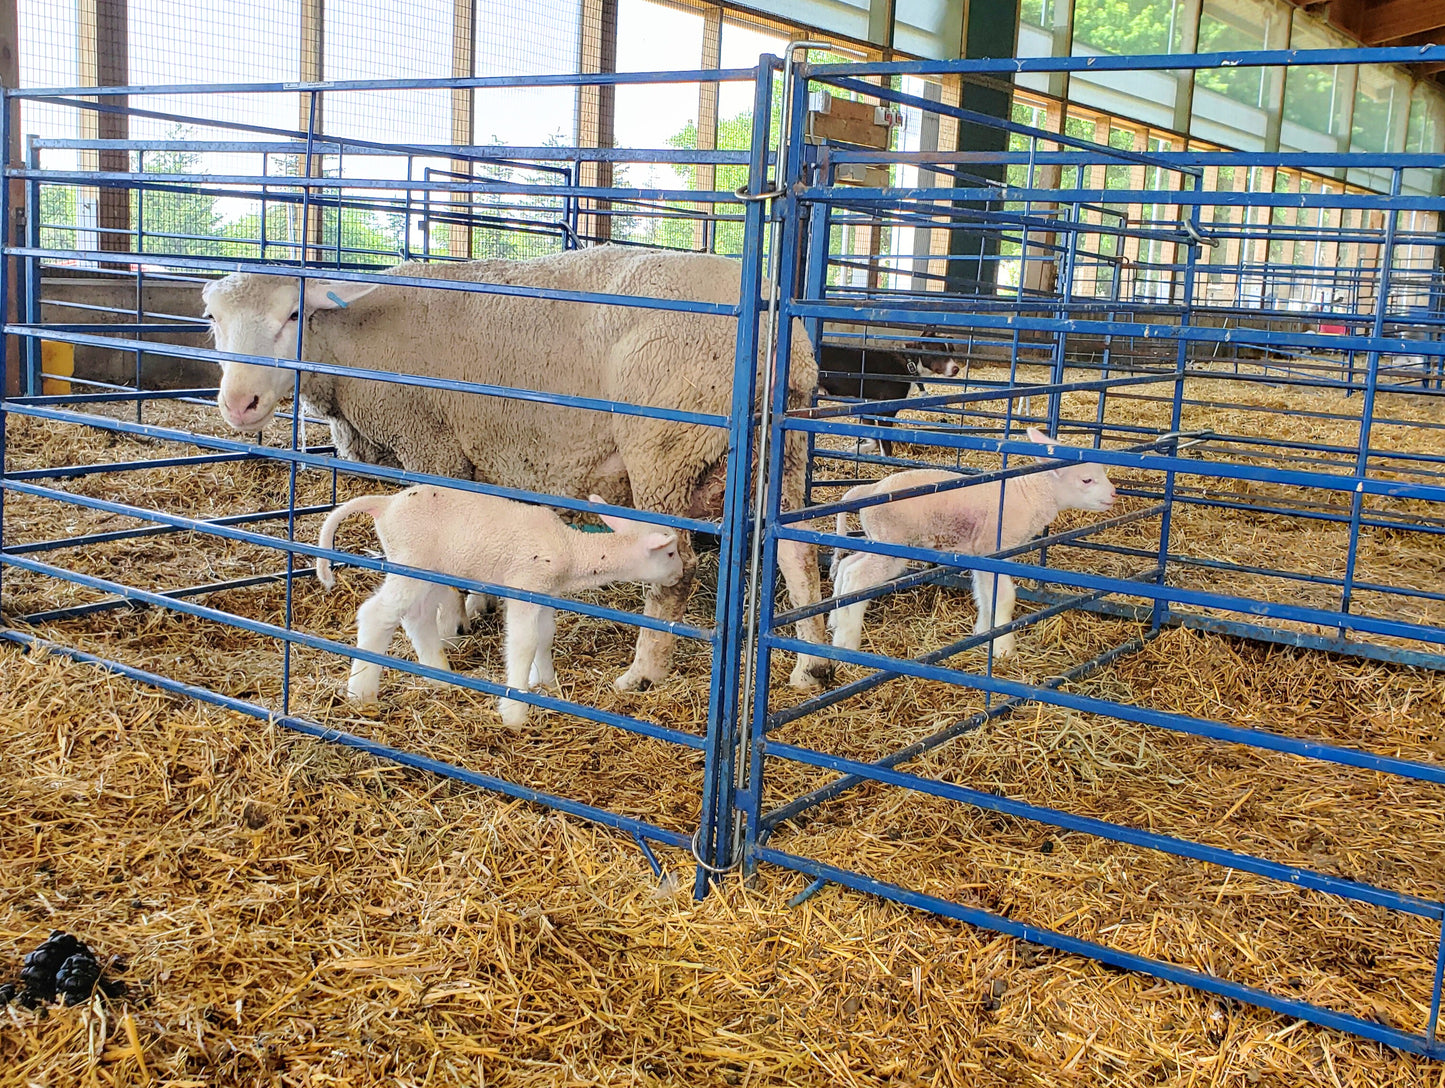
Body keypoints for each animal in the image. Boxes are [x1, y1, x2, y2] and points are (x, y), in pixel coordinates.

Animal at [201, 245, 832, 694]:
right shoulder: (482, 455)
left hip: (662, 448)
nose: (240, 404)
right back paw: (810, 667)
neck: (354, 347)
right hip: (785, 446)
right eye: (211, 318)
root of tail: (775, 335)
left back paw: (643, 673)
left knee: (678, 571)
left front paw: (452, 626)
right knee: (798, 553)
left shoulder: (432, 443)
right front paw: (478, 608)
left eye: (294, 314)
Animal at [316, 485, 684, 726]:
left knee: (418, 617)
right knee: (377, 615)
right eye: (669, 552)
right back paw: (361, 693)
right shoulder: (525, 584)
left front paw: (546, 685)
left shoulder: (544, 593)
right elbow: (523, 643)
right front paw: (515, 712)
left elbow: (544, 637)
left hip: (431, 570)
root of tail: (385, 503)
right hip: (410, 560)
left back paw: (441, 678)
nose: (681, 574)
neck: (570, 548)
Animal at [816, 338, 961, 458]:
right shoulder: (885, 412)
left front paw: (856, 449)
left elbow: (873, 437)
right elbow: (885, 445)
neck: (910, 363)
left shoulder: (868, 407)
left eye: (952, 351)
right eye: (939, 352)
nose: (956, 369)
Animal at [828, 427, 1117, 658]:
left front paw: (983, 632)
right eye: (1087, 480)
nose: (1114, 494)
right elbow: (1004, 597)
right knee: (857, 577)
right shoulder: (996, 550)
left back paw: (834, 620)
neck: (1030, 495)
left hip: (877, 538)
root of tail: (870, 489)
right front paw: (1003, 647)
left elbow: (986, 594)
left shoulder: (983, 553)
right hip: (892, 542)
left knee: (846, 566)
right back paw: (846, 640)